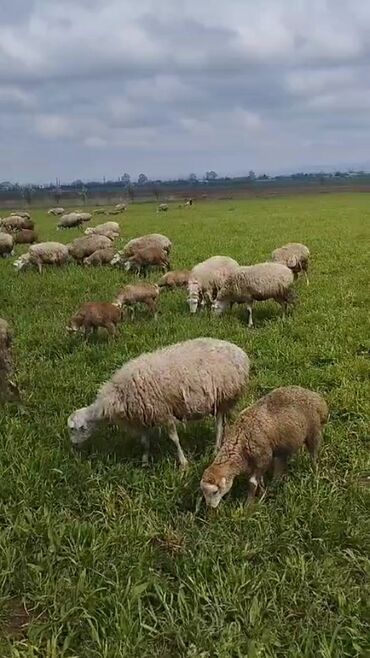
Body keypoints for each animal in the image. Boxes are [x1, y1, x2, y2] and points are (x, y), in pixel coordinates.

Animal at [68, 336, 250, 468]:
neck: (117, 395)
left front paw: (183, 463)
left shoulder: (163, 412)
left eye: (76, 429)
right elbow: (145, 442)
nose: (74, 446)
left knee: (219, 425)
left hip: (224, 395)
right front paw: (144, 461)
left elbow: (174, 439)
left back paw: (215, 449)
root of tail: (240, 352)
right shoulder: (144, 416)